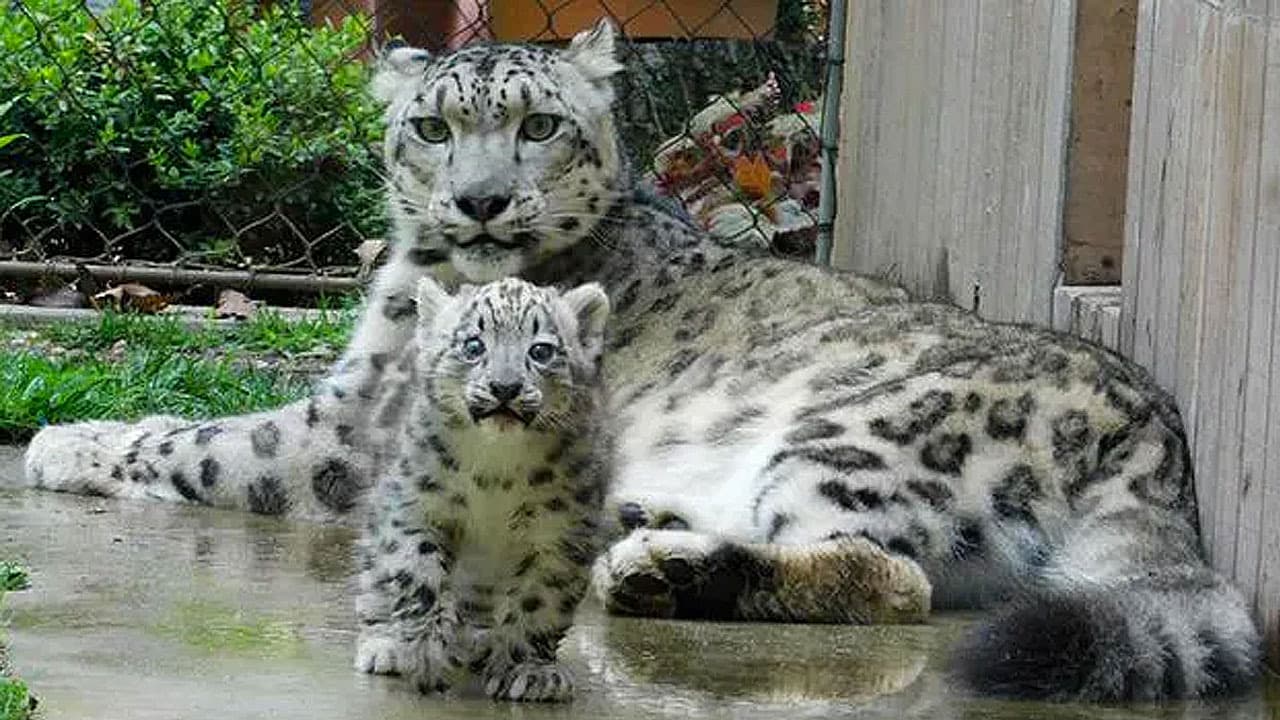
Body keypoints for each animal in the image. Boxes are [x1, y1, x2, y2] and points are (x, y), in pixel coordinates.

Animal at [22, 18, 1259, 702]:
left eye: (537, 125)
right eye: (431, 127)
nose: (479, 202)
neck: (412, 277)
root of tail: (1156, 431)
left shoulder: (347, 431)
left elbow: (204, 437)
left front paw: (62, 438)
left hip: (854, 436)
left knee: (889, 575)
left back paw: (661, 569)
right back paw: (645, 528)